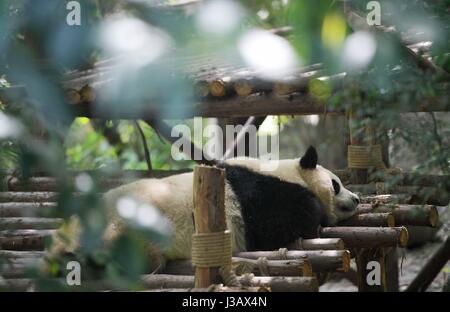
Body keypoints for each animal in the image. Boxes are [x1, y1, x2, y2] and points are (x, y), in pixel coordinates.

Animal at [50, 146, 358, 268]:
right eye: (336, 184)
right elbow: (285, 221)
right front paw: (317, 217)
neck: (287, 172)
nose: (356, 199)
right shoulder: (260, 197)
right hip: (122, 228)